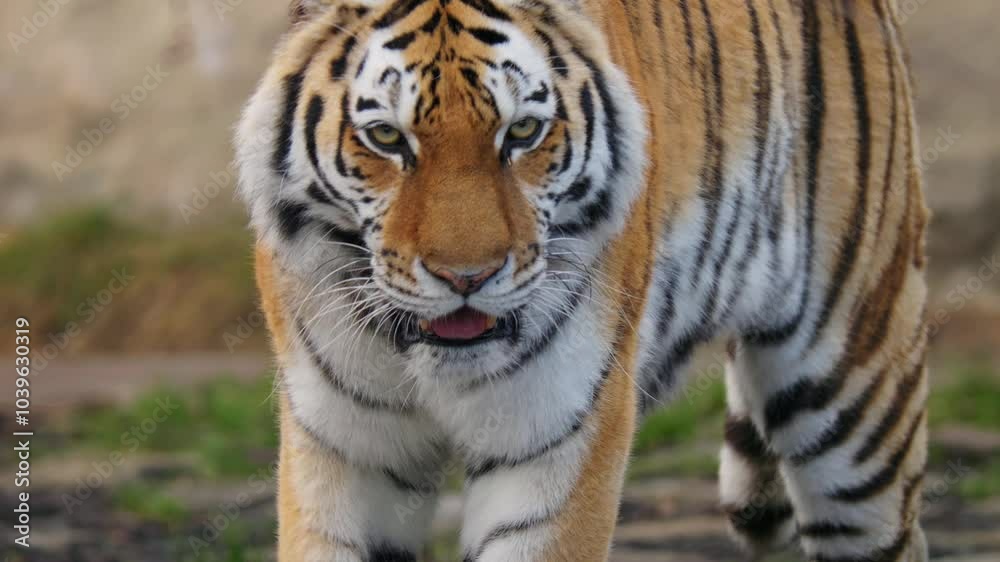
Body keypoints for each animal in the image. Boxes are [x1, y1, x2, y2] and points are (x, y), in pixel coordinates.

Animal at [235, 0, 930, 559]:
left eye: (522, 131)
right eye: (385, 136)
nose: (468, 277)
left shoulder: (555, 439)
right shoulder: (344, 450)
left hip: (855, 392)